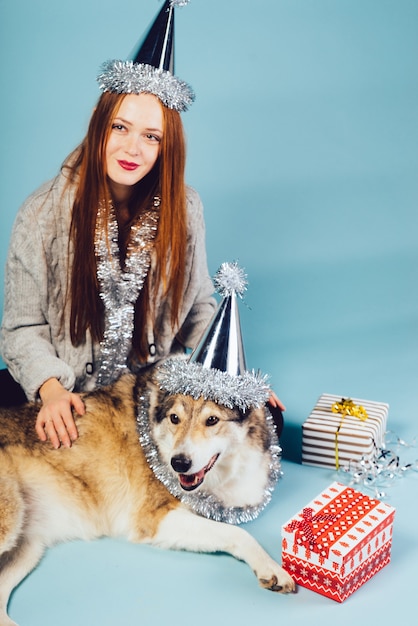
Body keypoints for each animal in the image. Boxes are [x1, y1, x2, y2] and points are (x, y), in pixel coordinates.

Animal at [0, 360, 296, 624]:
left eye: (212, 420)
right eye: (175, 418)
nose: (179, 463)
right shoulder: (155, 519)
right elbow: (238, 534)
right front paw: (271, 568)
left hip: (27, 548)